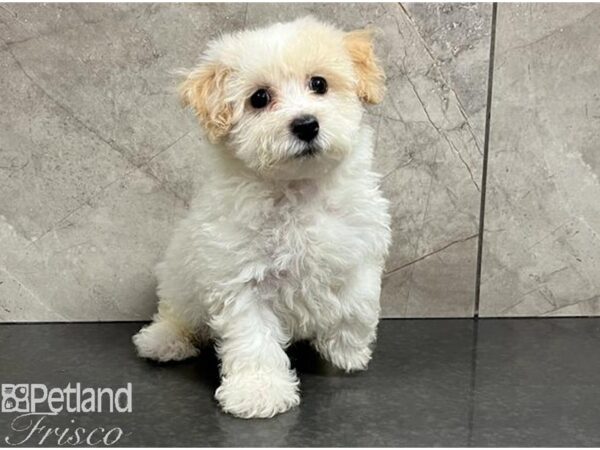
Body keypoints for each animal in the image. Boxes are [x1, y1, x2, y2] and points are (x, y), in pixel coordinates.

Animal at [133, 16, 392, 418]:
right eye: (259, 98)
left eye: (319, 83)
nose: (306, 124)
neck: (298, 189)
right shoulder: (240, 276)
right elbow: (253, 337)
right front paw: (258, 391)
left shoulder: (360, 243)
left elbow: (358, 301)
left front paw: (348, 349)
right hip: (179, 277)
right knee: (176, 311)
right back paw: (164, 340)